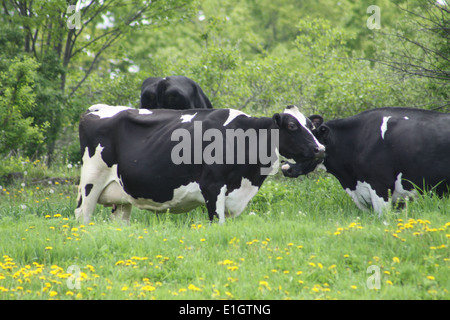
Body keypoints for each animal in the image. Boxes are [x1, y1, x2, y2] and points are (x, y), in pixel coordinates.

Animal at [75, 104, 326, 224]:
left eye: (311, 126)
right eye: (292, 126)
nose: (320, 149)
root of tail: (97, 109)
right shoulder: (212, 188)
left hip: (122, 197)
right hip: (90, 182)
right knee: (82, 216)